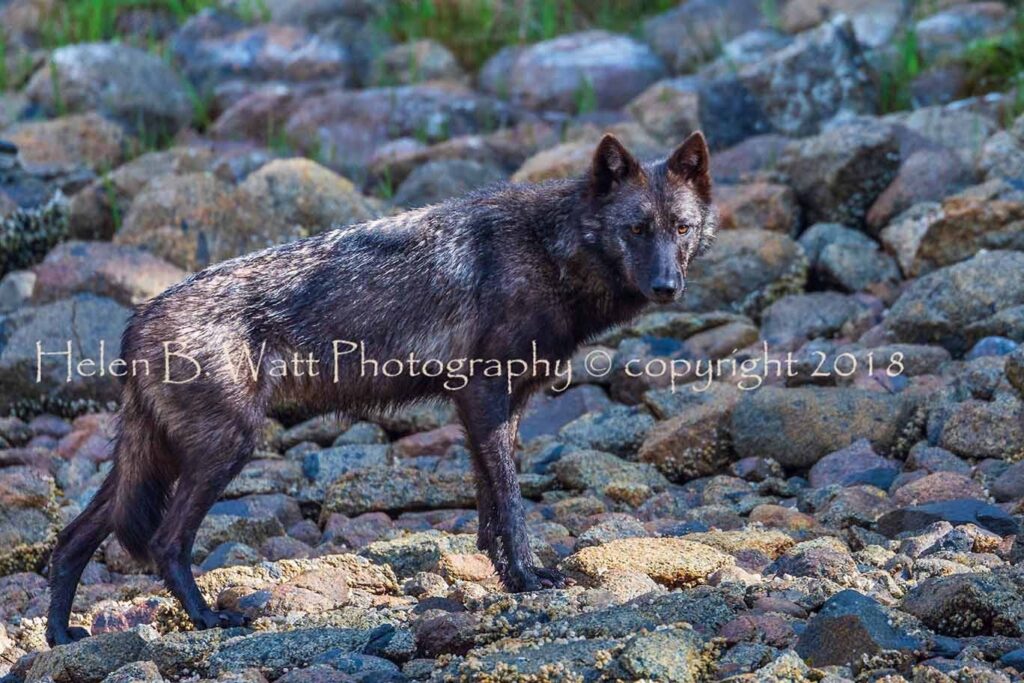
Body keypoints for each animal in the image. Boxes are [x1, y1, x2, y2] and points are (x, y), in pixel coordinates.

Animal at [46, 132, 712, 647]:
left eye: (680, 228)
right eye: (635, 228)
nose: (667, 287)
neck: (550, 250)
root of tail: (137, 318)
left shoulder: (497, 406)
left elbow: (491, 509)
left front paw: (506, 576)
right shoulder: (483, 397)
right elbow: (511, 503)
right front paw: (529, 578)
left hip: (153, 462)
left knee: (71, 538)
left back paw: (59, 638)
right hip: (223, 451)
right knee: (164, 542)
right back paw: (209, 619)